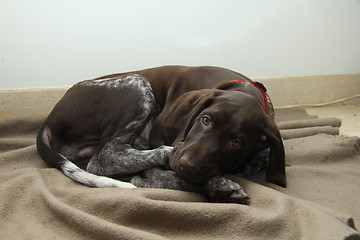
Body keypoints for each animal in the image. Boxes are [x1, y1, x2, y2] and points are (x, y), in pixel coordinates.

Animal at [35, 64, 284, 203]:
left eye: (236, 142)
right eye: (205, 120)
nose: (187, 165)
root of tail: (48, 120)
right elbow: (167, 176)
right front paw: (218, 185)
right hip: (137, 83)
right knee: (103, 159)